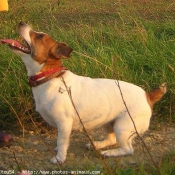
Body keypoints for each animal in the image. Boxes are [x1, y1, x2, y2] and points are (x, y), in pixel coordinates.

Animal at [1, 21, 165, 164]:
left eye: (39, 36)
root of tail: (147, 96)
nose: (21, 22)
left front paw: (60, 158)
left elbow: (62, 141)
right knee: (112, 139)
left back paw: (109, 153)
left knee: (127, 149)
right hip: (108, 123)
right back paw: (97, 145)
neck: (49, 77)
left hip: (123, 127)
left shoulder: (64, 123)